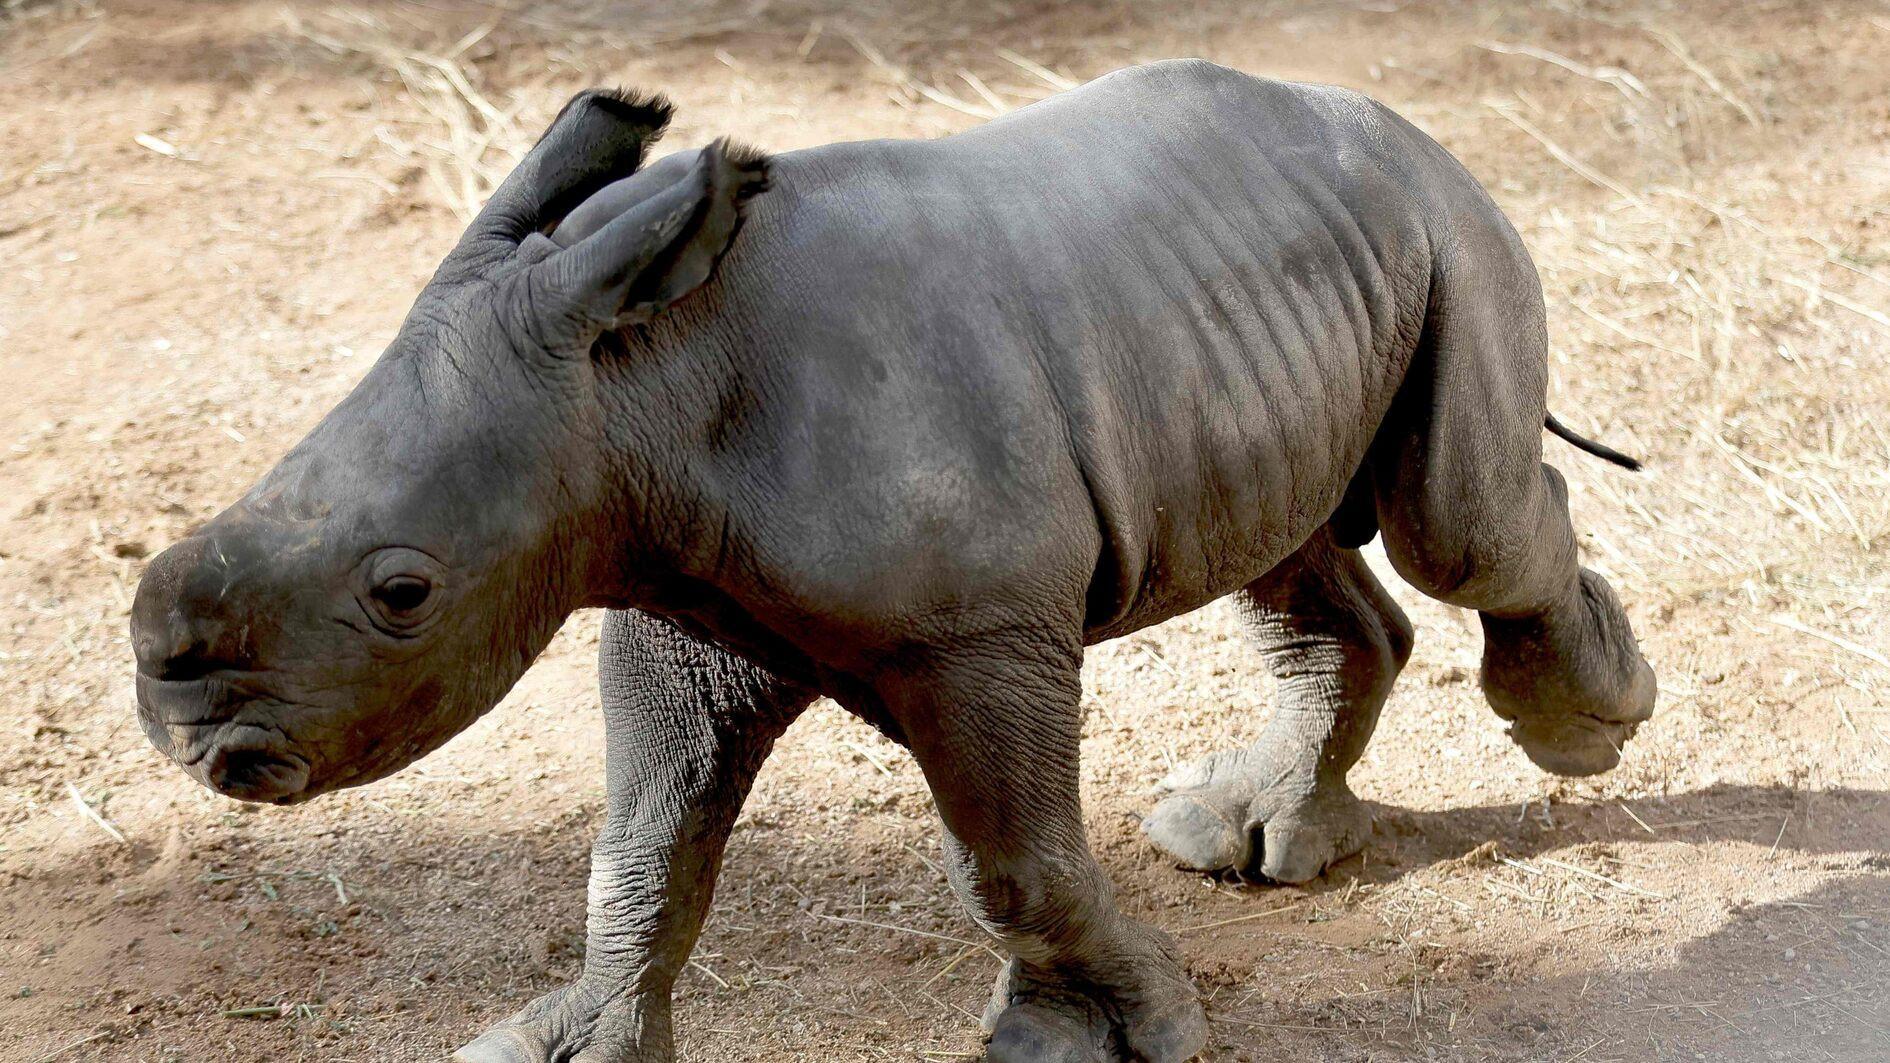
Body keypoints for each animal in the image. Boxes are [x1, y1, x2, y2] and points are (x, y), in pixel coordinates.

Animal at [130, 60, 1656, 1062]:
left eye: (402, 592)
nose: (182, 717)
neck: (637, 386)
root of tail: (1400, 127)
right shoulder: (675, 605)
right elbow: (643, 834)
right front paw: (566, 1044)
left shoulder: (976, 630)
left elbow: (1010, 860)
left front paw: (1114, 1039)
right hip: (1255, 294)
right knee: (1282, 546)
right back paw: (1246, 840)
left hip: (1447, 231)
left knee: (1455, 528)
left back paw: (1584, 726)